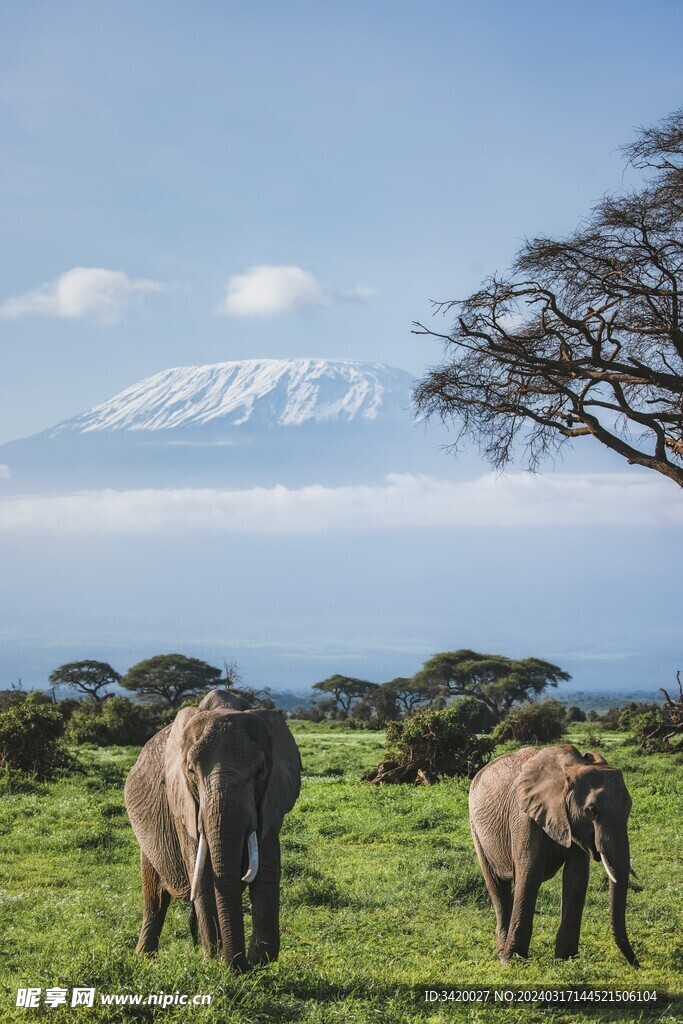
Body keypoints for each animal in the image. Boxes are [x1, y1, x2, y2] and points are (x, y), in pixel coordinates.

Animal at [125, 688, 301, 966]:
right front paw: (216, 960)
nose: (240, 965)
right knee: (155, 897)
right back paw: (145, 958)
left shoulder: (272, 798)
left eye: (260, 771)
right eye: (190, 770)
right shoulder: (182, 804)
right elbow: (203, 872)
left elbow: (265, 869)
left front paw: (257, 958)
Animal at [466, 745, 638, 966]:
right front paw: (512, 960)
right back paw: (502, 952)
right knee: (497, 885)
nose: (636, 963)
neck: (572, 768)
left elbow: (576, 877)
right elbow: (530, 873)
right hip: (476, 828)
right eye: (592, 810)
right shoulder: (524, 817)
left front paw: (566, 959)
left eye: (630, 807)